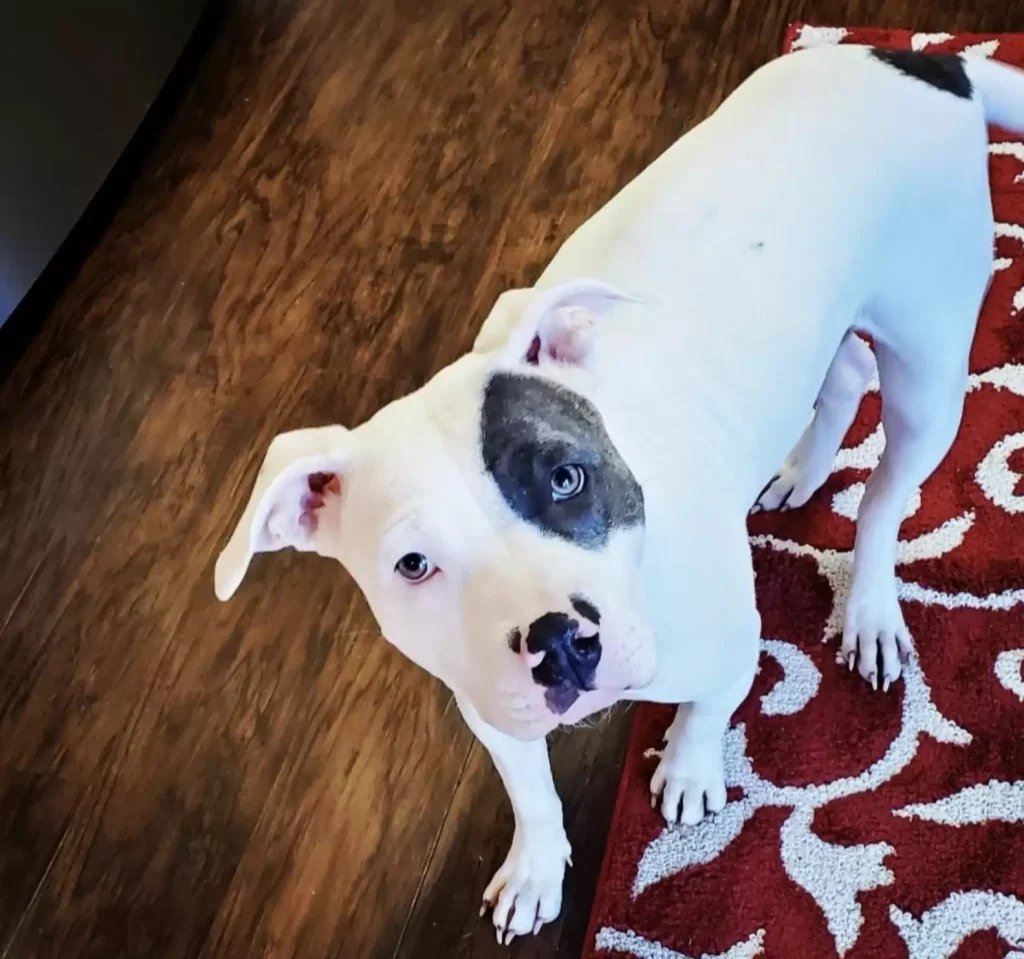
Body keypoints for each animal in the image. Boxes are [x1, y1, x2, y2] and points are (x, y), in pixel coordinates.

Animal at [211, 46, 1019, 941]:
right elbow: (529, 788)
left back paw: (870, 608)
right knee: (842, 375)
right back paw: (799, 468)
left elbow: (707, 707)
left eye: (567, 476)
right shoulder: (488, 704)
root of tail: (929, 58)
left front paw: (689, 769)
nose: (558, 641)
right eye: (413, 564)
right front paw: (535, 866)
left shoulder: (733, 646)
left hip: (929, 373)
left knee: (882, 497)